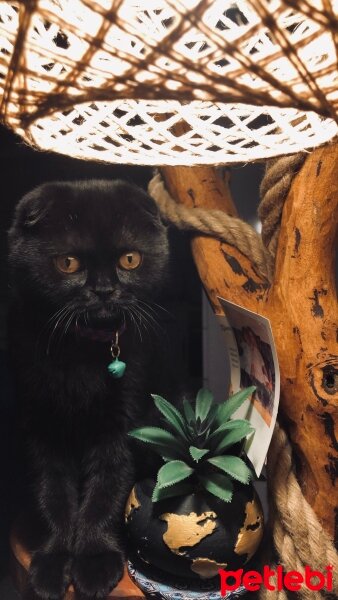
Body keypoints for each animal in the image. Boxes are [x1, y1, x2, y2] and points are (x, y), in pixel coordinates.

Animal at [8, 179, 172, 600]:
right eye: (68, 263)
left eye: (129, 259)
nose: (103, 290)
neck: (83, 355)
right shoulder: (40, 424)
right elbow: (52, 493)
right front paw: (53, 562)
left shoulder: (121, 424)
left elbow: (107, 489)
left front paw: (95, 561)